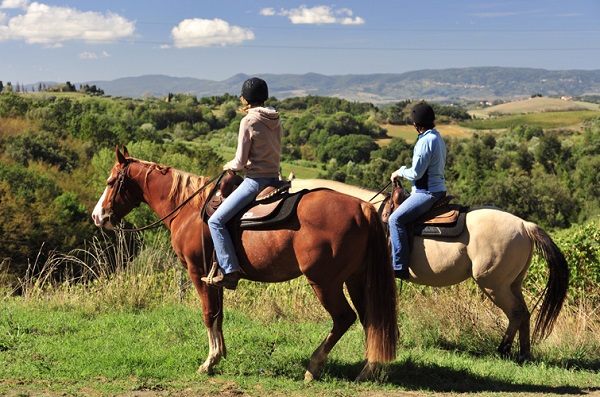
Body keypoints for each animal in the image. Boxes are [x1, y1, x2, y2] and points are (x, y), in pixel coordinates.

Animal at [91, 146, 396, 380]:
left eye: (110, 182)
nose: (97, 216)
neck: (189, 209)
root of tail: (362, 208)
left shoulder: (197, 273)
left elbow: (208, 314)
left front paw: (209, 362)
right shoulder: (216, 277)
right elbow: (219, 314)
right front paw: (220, 354)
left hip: (325, 282)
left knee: (344, 318)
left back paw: (314, 366)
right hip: (356, 279)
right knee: (371, 320)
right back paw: (369, 370)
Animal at [290, 178, 568, 360]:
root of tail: (525, 225)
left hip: (494, 285)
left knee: (516, 312)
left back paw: (503, 350)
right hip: (513, 283)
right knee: (525, 313)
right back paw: (523, 353)